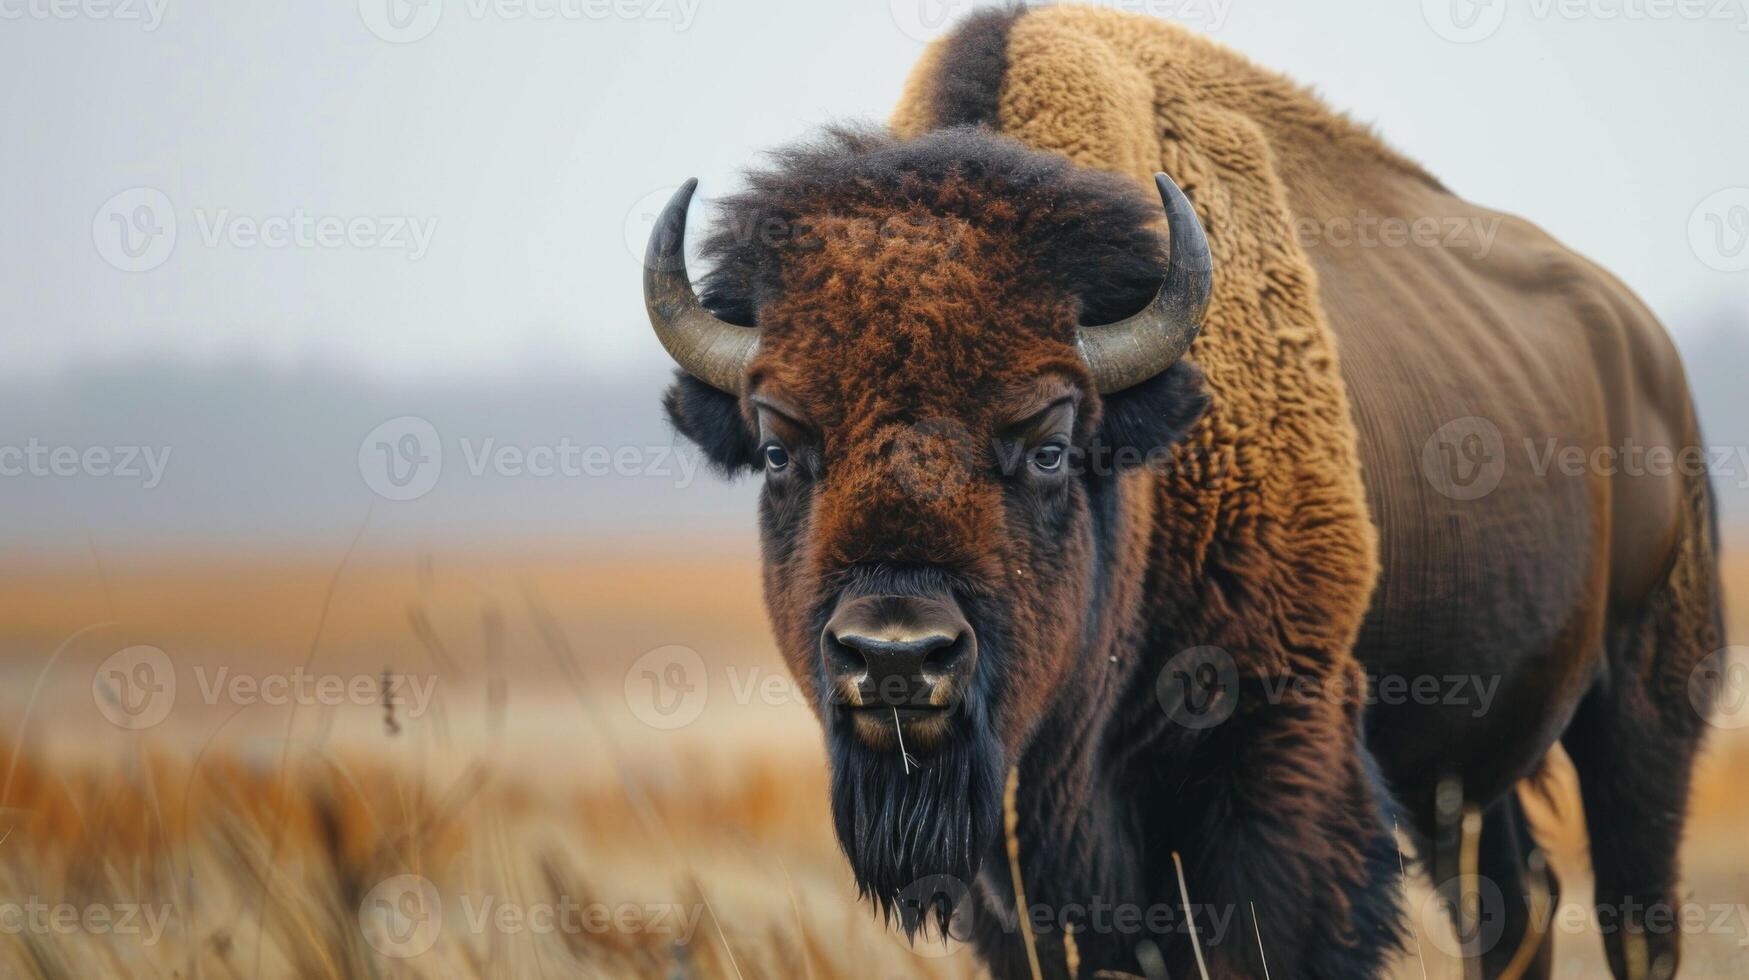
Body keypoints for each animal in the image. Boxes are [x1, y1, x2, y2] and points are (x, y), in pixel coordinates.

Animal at [636, 9, 1714, 980]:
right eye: (780, 447)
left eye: (1050, 443)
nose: (896, 657)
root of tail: (1647, 349)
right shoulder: (1019, 875)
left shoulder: (1276, 765)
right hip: (1458, 770)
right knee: (1512, 900)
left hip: (1644, 707)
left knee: (1634, 909)